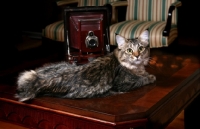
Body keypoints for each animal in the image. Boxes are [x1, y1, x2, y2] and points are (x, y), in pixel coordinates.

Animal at [15, 30, 156, 102]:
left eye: (141, 48)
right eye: (129, 51)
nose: (137, 56)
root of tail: (37, 78)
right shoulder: (123, 84)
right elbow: (143, 79)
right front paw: (151, 77)